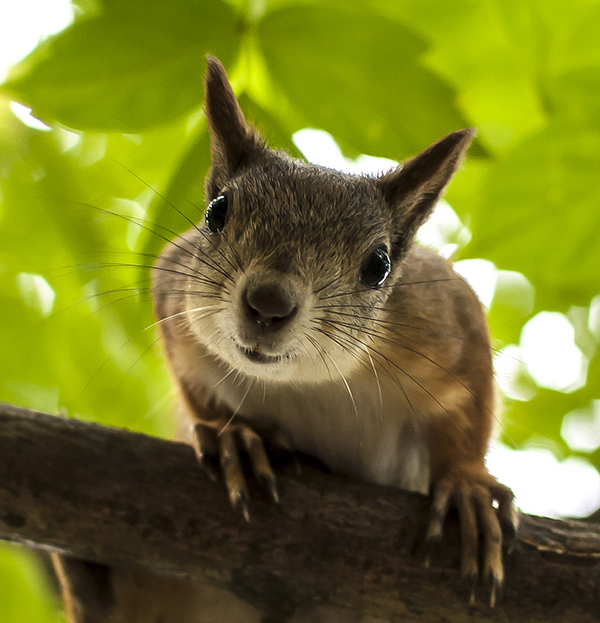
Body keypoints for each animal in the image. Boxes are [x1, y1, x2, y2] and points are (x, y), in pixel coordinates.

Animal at [54, 56, 516, 620]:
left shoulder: (450, 322)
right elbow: (196, 388)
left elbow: (469, 409)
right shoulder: (173, 300)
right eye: (216, 212)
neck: (311, 381)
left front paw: (468, 484)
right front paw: (233, 434)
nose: (268, 304)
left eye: (379, 265)